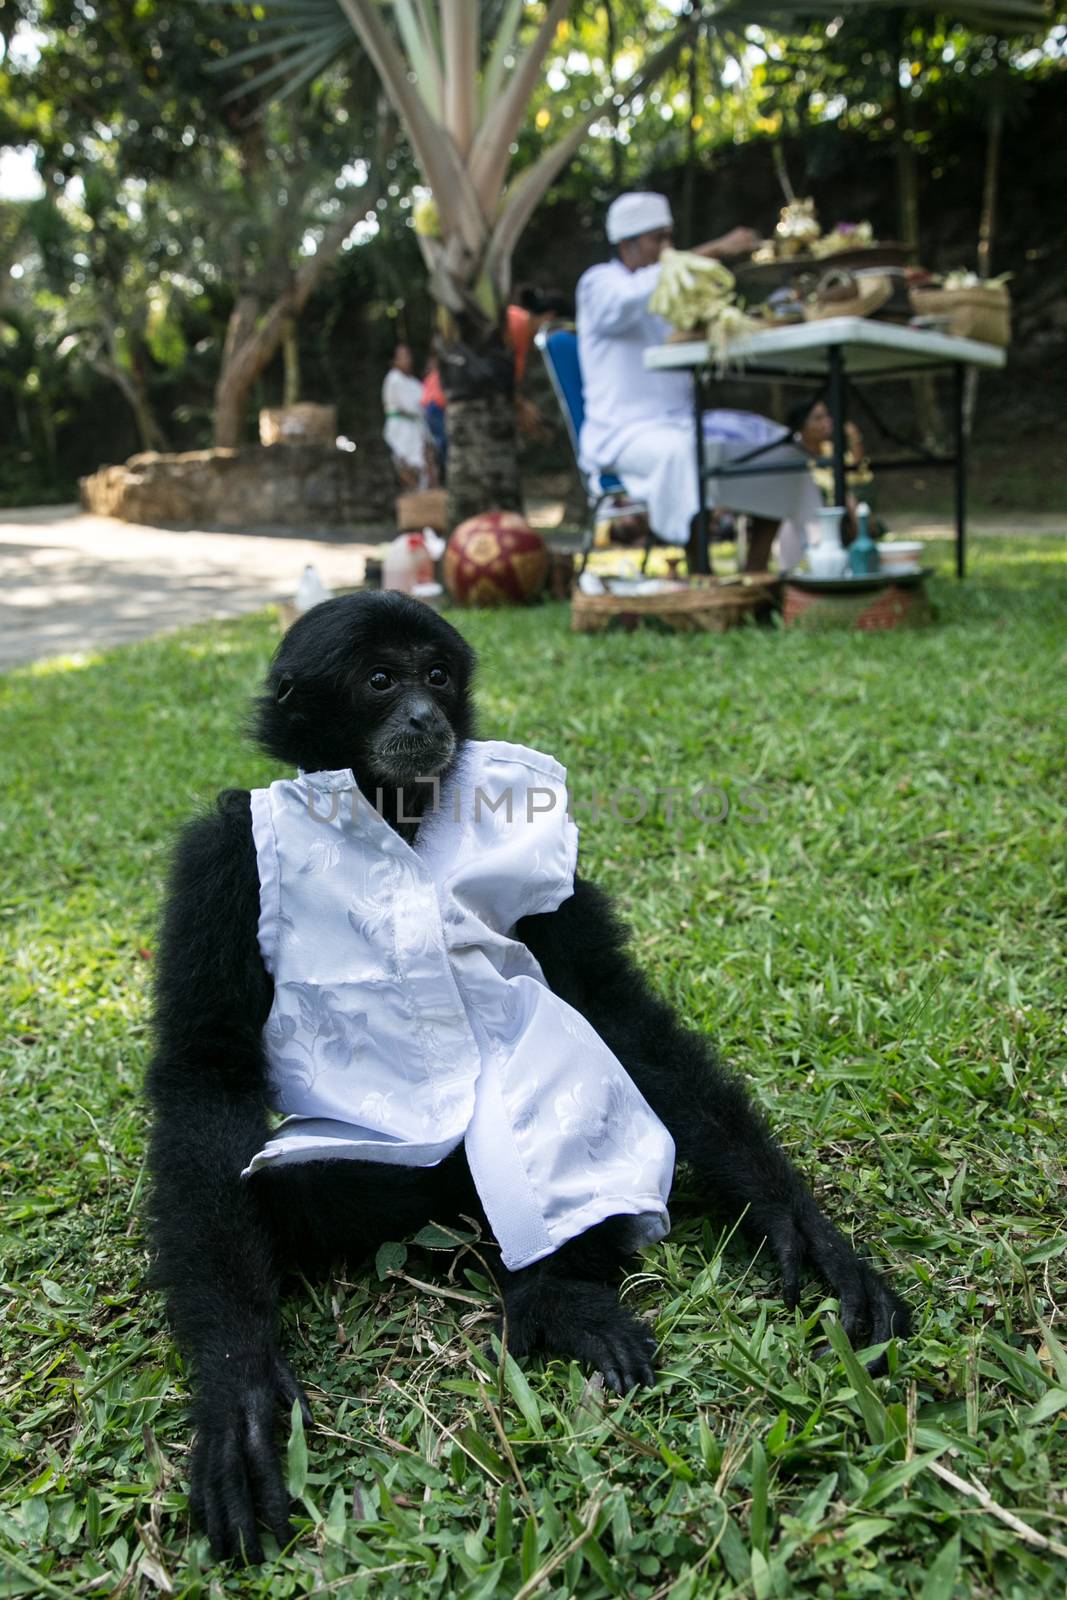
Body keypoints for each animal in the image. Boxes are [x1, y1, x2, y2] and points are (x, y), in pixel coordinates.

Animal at [146, 588, 908, 1561]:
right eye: (380, 679)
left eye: (436, 675)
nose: (423, 714)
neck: (392, 820)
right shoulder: (218, 859)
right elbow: (205, 1078)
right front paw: (236, 1389)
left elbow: (612, 1005)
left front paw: (796, 1224)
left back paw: (555, 1295)